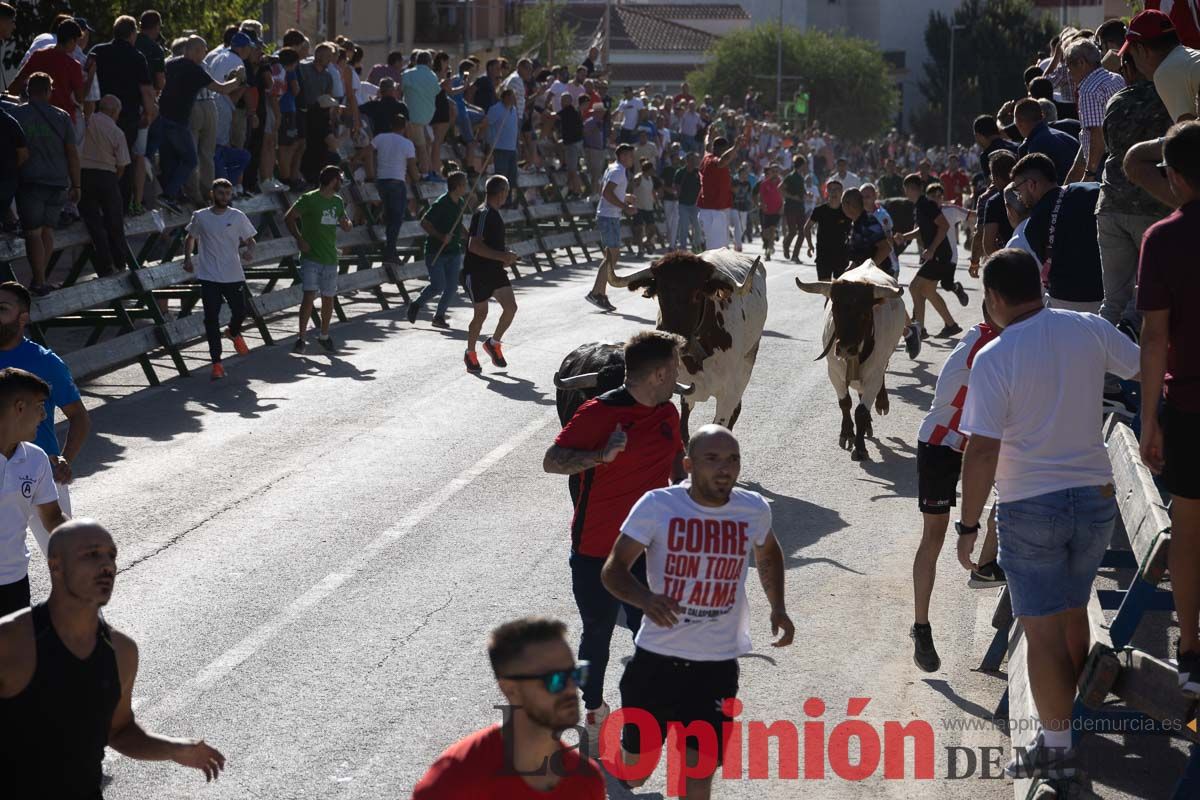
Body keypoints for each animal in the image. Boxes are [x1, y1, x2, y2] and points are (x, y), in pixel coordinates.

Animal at [609, 248, 768, 438]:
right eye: (660, 293)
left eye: (698, 294)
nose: (675, 341)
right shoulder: (682, 389)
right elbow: (682, 430)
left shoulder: (728, 393)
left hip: (748, 360)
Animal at [801, 263, 902, 462]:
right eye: (835, 310)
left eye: (864, 313)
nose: (846, 348)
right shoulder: (834, 372)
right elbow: (845, 403)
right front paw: (847, 434)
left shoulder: (874, 374)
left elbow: (861, 412)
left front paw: (860, 448)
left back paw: (881, 403)